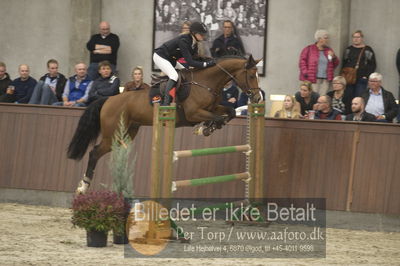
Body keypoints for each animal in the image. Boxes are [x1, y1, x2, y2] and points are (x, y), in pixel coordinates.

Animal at [67, 55, 264, 194]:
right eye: (251, 75)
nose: (257, 98)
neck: (206, 82)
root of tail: (108, 99)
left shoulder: (214, 107)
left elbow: (230, 112)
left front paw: (209, 127)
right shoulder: (193, 113)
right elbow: (217, 117)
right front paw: (206, 128)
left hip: (127, 133)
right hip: (112, 133)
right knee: (94, 152)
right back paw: (83, 187)